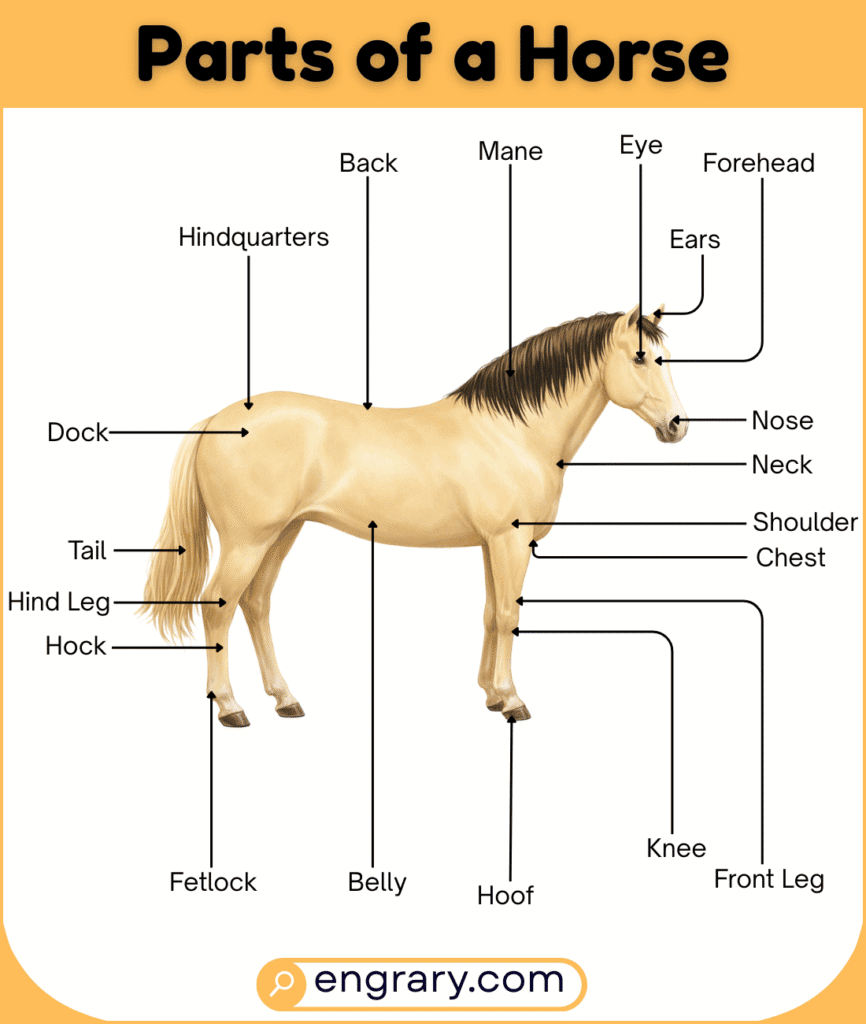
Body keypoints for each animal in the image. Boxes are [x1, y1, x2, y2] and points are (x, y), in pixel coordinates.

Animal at [142, 303, 687, 727]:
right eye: (640, 357)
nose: (676, 426)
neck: (512, 433)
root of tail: (217, 421)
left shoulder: (490, 544)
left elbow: (490, 612)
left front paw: (492, 695)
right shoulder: (508, 541)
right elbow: (508, 614)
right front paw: (513, 701)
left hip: (282, 533)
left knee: (255, 604)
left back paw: (285, 699)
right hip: (248, 540)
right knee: (219, 606)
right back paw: (232, 708)